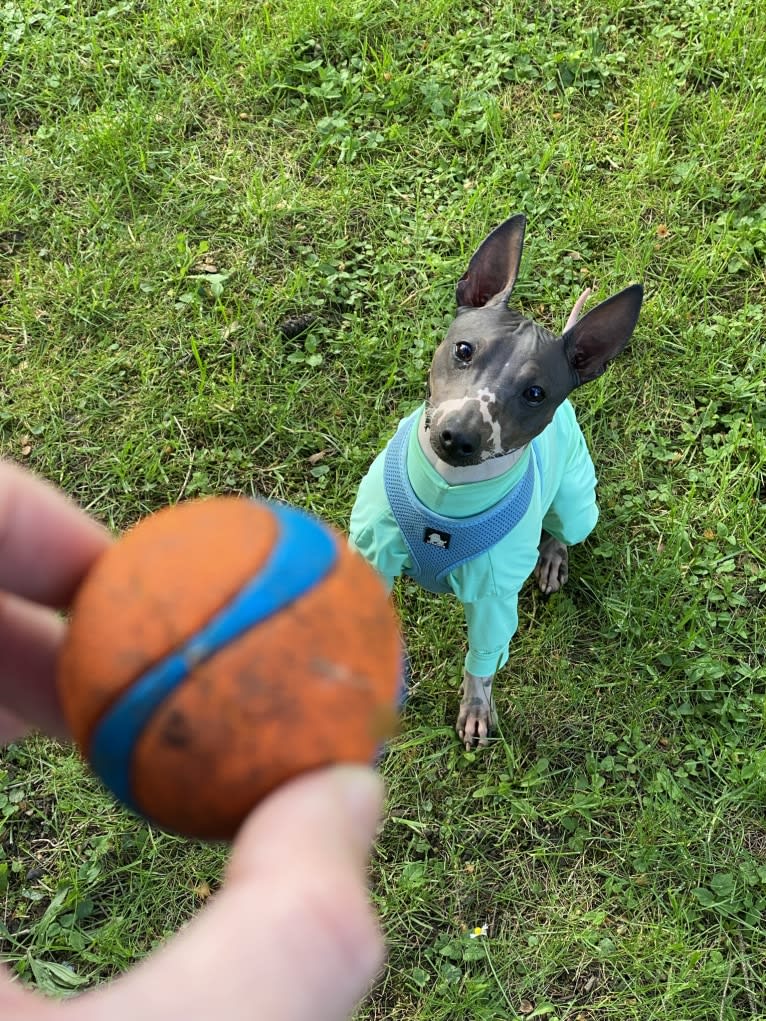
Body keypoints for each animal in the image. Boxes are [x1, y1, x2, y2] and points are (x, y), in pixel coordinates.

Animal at [351, 211, 645, 747]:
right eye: (464, 350)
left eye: (535, 392)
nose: (459, 437)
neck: (446, 496)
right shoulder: (371, 552)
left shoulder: (493, 599)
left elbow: (482, 663)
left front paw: (475, 709)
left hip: (578, 504)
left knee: (562, 531)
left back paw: (551, 560)